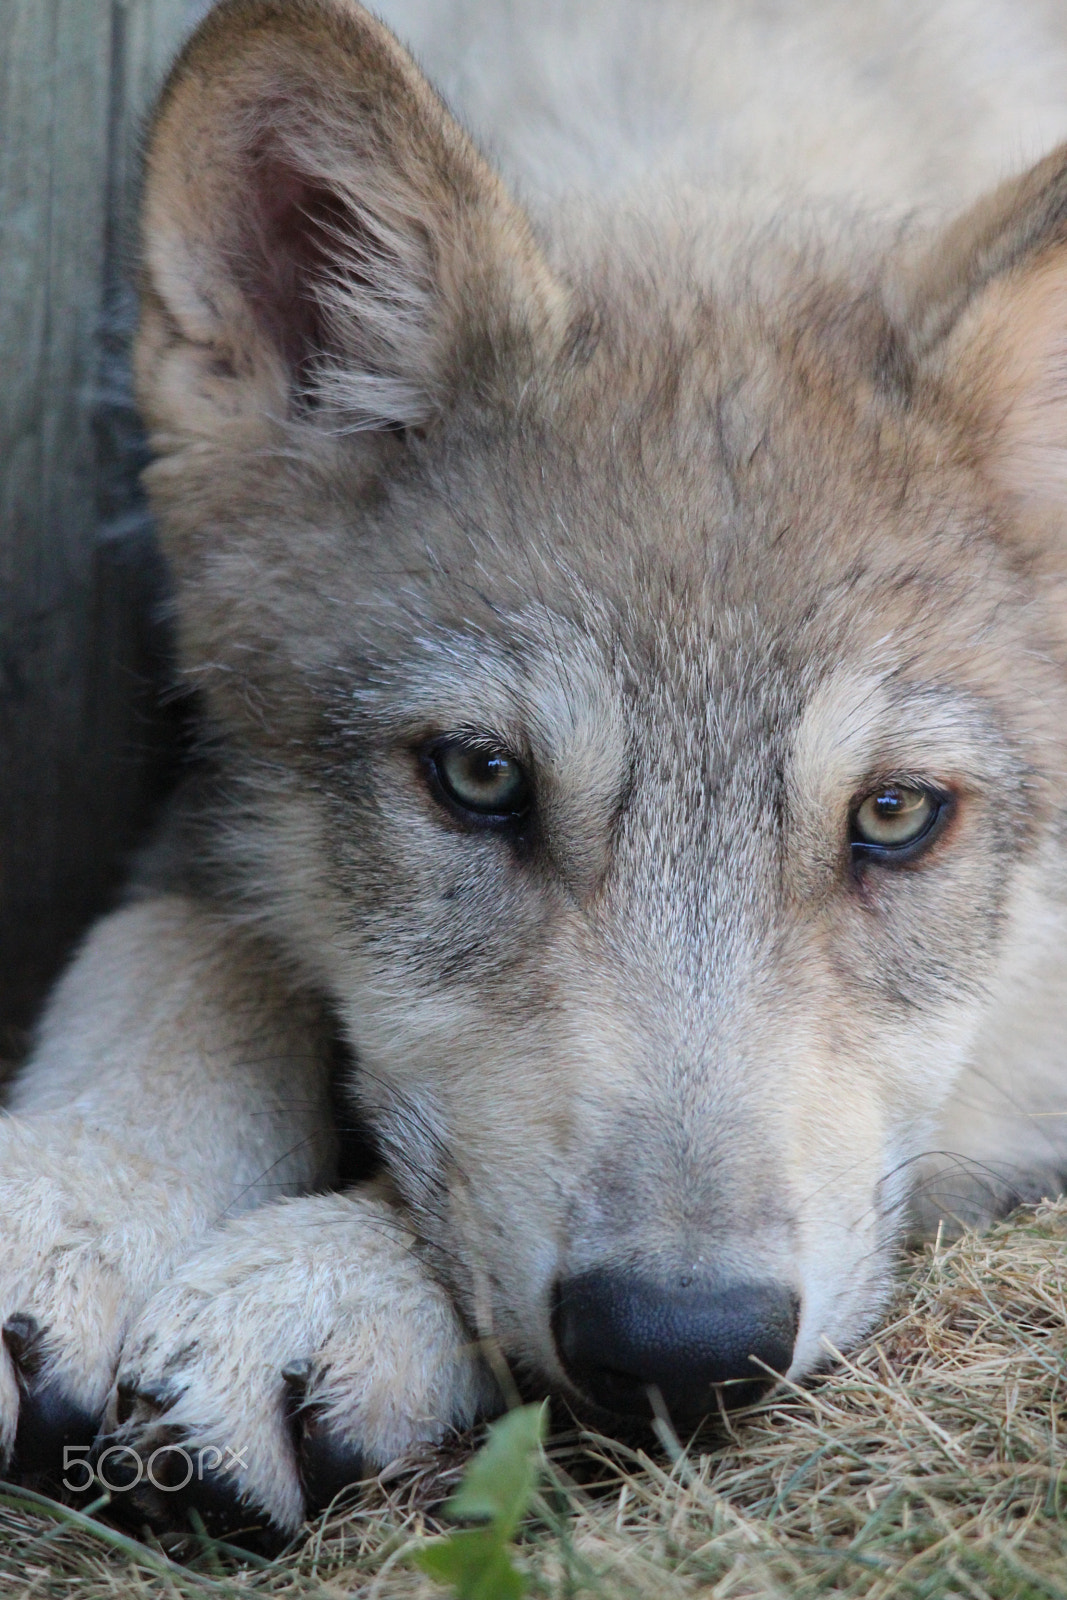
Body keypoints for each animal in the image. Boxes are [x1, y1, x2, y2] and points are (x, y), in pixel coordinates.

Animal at [4, 0, 1067, 1542]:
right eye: (479, 780)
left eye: (892, 814)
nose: (680, 1348)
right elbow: (179, 957)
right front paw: (79, 1187)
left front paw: (329, 1284)